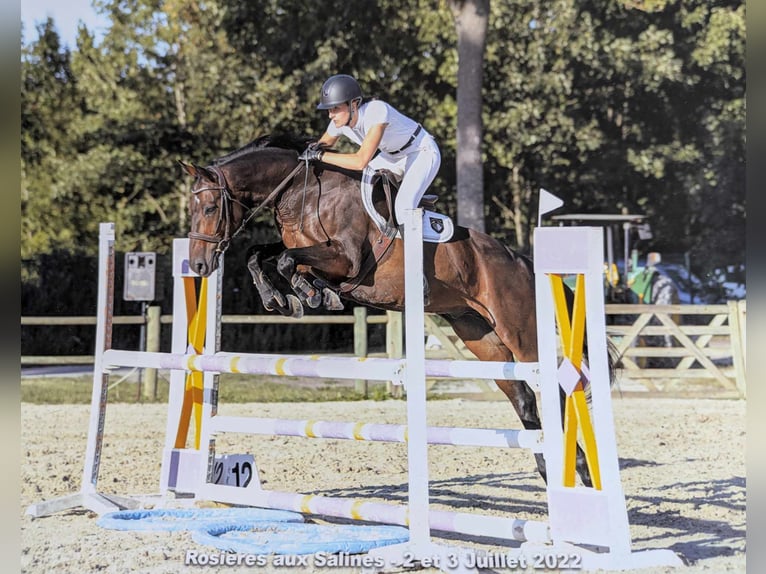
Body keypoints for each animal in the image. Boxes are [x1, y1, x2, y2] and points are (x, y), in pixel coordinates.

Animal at [178, 134, 612, 486]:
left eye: (211, 208)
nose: (199, 265)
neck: (302, 195)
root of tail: (522, 262)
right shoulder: (306, 252)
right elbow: (261, 255)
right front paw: (283, 298)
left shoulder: (346, 260)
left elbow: (288, 261)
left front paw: (310, 295)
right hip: (481, 338)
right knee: (522, 398)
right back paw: (553, 470)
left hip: (521, 334)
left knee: (556, 390)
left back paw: (579, 471)